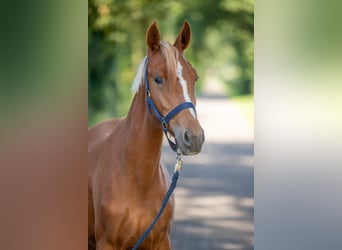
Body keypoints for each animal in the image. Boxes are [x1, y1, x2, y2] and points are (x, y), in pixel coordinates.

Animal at [89, 20, 204, 249]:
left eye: (194, 77)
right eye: (158, 79)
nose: (194, 138)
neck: (137, 179)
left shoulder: (161, 241)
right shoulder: (106, 243)